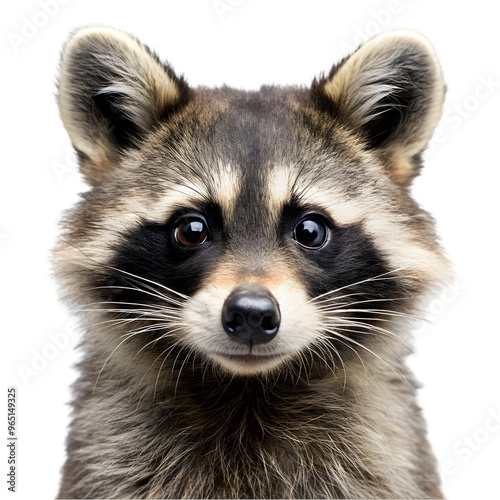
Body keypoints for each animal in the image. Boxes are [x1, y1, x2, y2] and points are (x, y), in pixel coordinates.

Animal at [54, 28, 450, 500]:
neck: (249, 389)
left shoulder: (385, 460)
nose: (250, 314)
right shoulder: (110, 457)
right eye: (192, 229)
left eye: (310, 230)